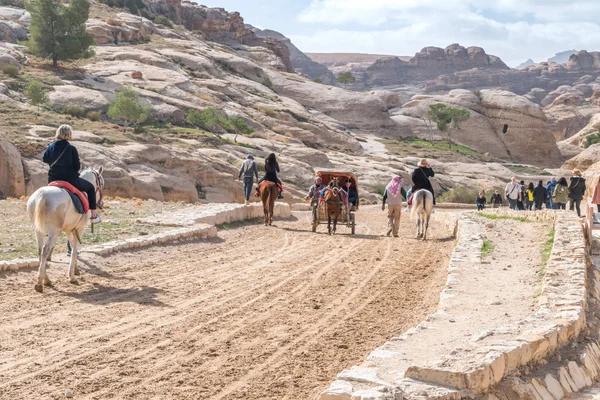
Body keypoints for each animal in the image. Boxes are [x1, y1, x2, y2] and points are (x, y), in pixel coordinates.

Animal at [27, 166, 105, 294]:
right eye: (102, 183)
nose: (101, 203)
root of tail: (43, 194)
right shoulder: (79, 228)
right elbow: (75, 248)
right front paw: (72, 276)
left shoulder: (69, 229)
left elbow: (73, 246)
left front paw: (76, 269)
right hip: (54, 232)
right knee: (45, 250)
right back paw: (40, 283)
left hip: (38, 231)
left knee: (39, 251)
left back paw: (46, 279)